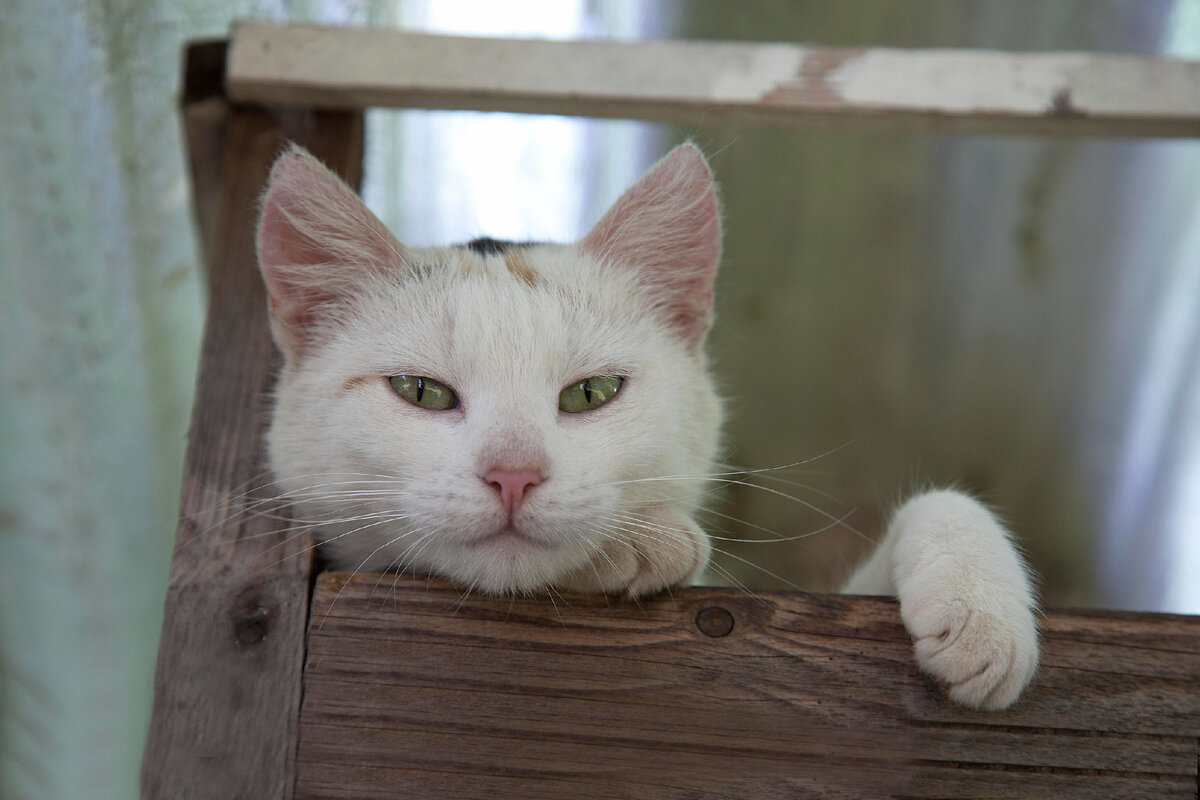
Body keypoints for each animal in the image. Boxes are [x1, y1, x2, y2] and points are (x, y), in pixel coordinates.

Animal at [255, 140, 1041, 710]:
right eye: (420, 391)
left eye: (591, 393)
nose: (514, 474)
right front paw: (643, 547)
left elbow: (943, 500)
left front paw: (981, 608)